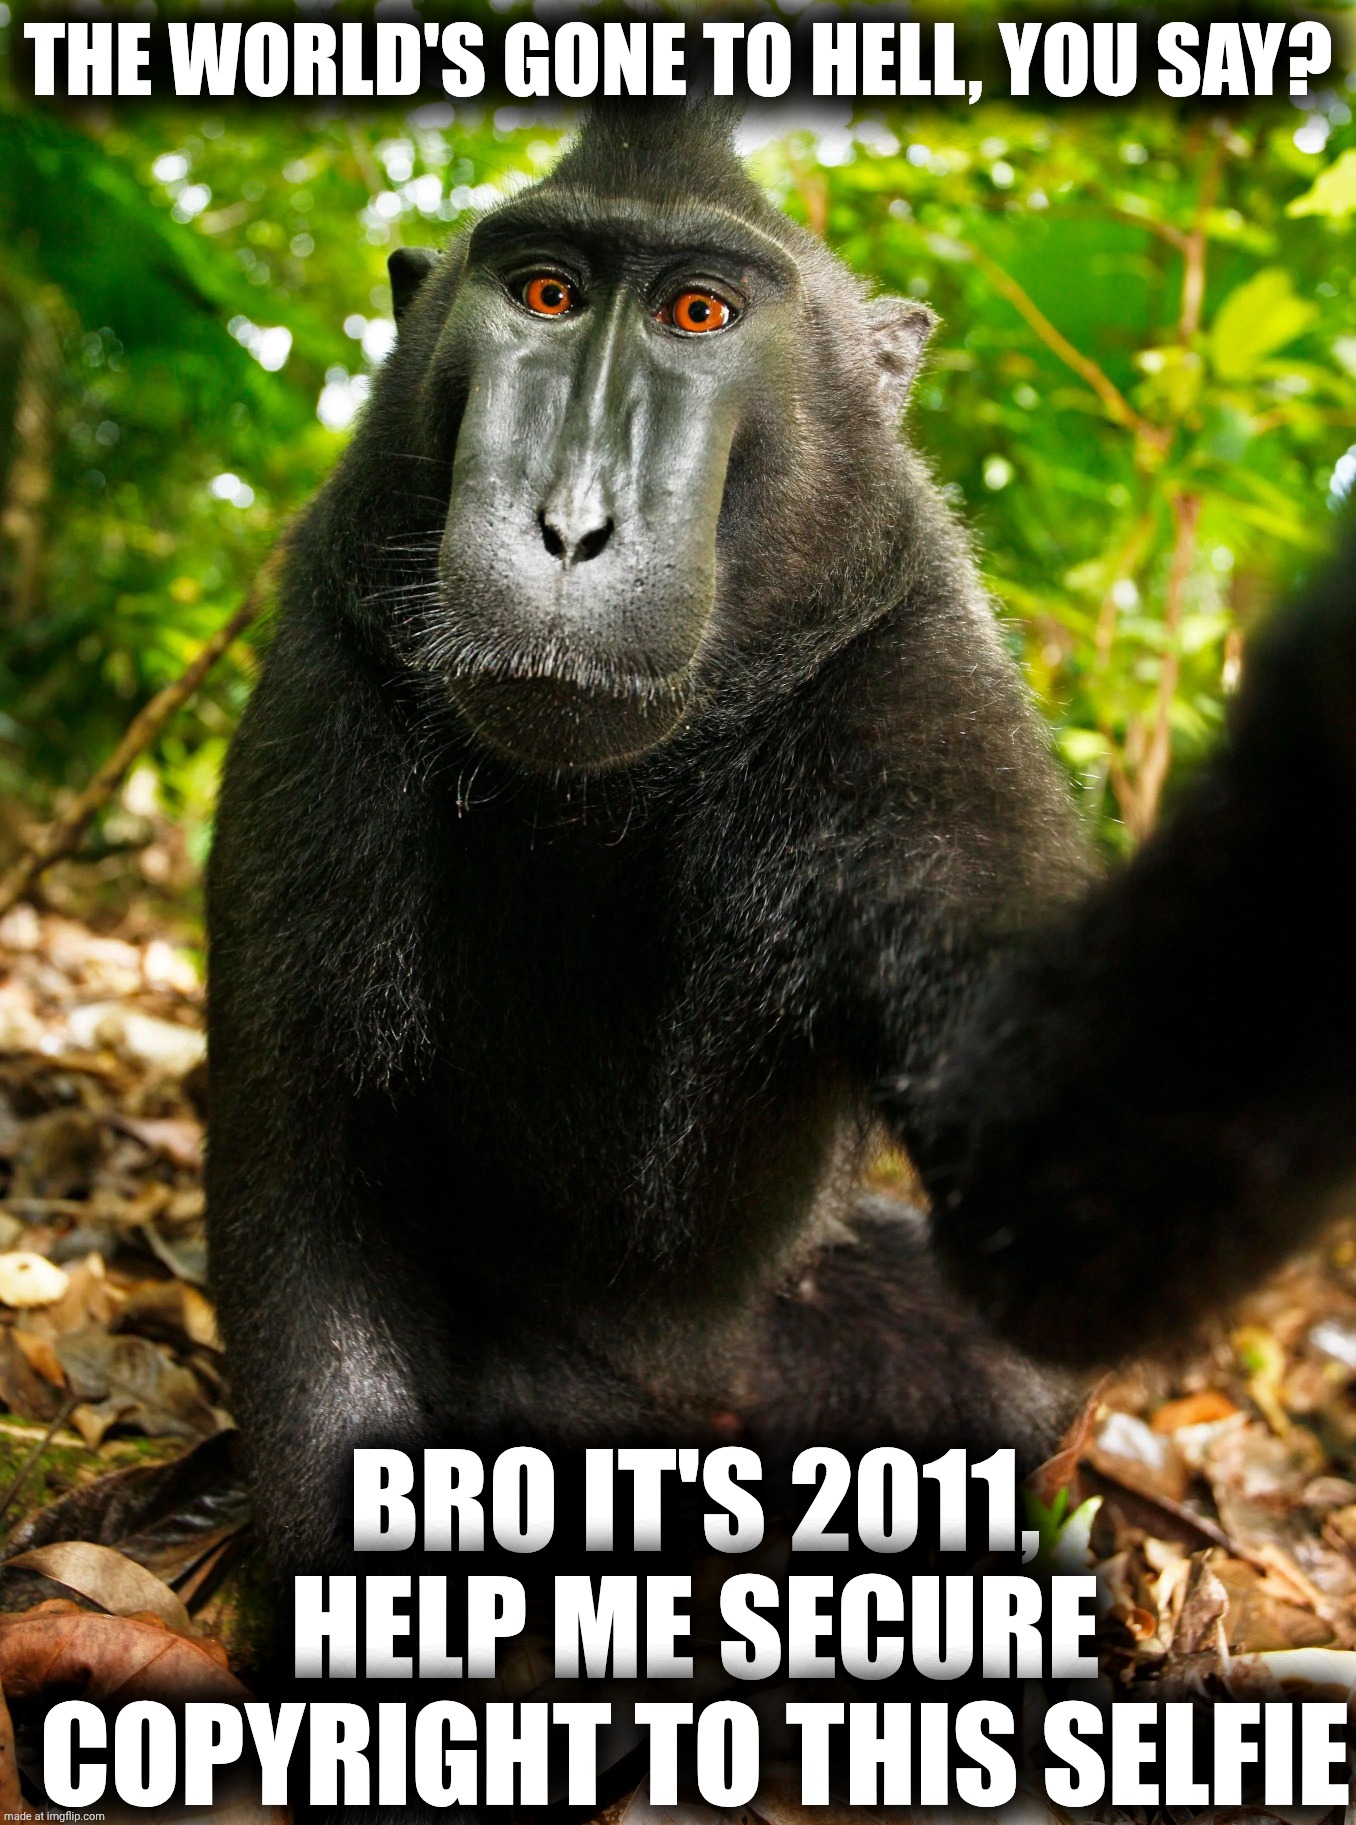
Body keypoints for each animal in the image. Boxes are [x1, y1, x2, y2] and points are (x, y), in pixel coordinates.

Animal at [205, 99, 1356, 1588]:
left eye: (700, 312)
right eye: (545, 296)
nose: (571, 527)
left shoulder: (911, 676)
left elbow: (1061, 1192)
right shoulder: (330, 664)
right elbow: (304, 1189)